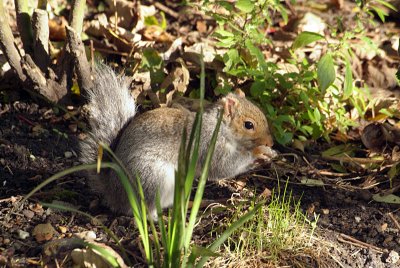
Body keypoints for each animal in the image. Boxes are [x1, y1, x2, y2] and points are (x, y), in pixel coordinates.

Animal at [79, 63, 276, 219]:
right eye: (248, 125)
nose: (270, 142)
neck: (219, 127)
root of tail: (114, 193)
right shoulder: (208, 144)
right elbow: (224, 167)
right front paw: (258, 153)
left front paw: (267, 154)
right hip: (154, 179)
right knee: (143, 211)